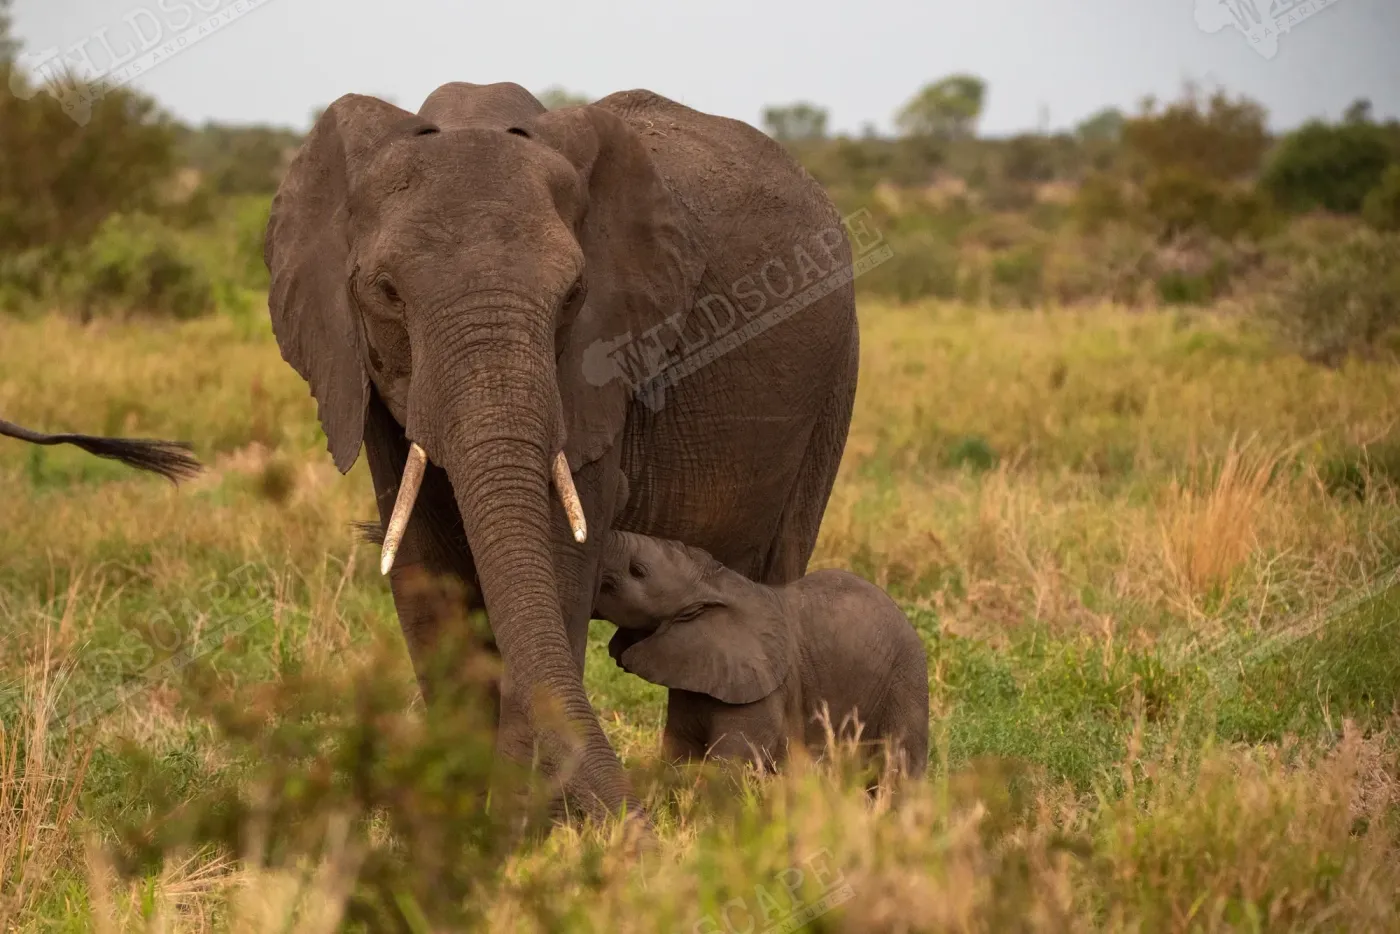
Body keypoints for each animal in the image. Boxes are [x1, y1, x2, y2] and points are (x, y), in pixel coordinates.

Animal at [263, 81, 859, 825]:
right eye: (387, 293)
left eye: (573, 295)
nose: (637, 826)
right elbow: (423, 562)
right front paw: (462, 823)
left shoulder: (605, 364)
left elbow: (561, 553)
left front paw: (526, 824)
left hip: (834, 379)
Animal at [595, 530, 928, 778]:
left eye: (637, 571)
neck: (715, 585)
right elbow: (680, 750)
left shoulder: (766, 690)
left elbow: (732, 759)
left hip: (905, 679)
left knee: (898, 765)